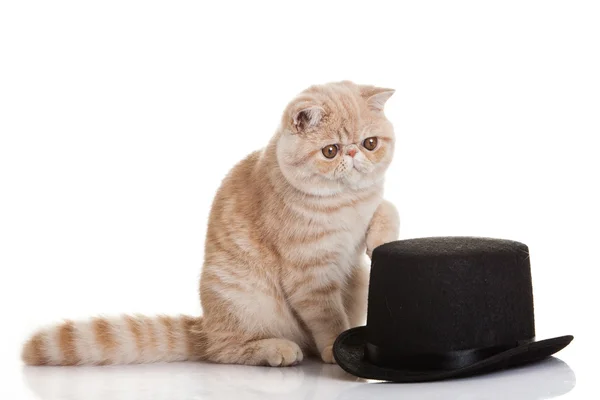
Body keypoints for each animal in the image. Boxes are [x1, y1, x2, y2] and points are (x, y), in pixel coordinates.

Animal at [22, 79, 398, 368]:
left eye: (370, 143)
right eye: (330, 150)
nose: (354, 154)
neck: (346, 204)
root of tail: (204, 326)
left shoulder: (369, 208)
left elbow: (387, 208)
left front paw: (380, 238)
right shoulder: (310, 275)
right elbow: (327, 316)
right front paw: (335, 346)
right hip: (242, 298)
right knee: (224, 351)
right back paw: (275, 350)